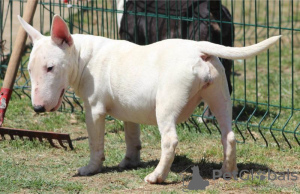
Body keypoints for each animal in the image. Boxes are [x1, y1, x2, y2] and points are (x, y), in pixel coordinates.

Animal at [18, 15, 282, 183]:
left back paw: (157, 177)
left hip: (166, 103)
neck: (84, 56)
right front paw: (129, 161)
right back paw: (228, 171)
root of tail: (199, 48)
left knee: (170, 140)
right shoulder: (129, 110)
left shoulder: (94, 110)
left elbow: (96, 144)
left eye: (50, 68)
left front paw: (90, 169)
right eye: (29, 70)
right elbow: (132, 137)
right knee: (229, 135)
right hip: (219, 95)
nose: (37, 108)